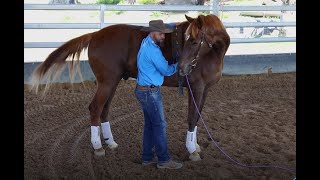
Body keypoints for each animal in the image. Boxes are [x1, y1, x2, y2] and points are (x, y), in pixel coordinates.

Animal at [30, 13, 230, 160]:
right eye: (187, 39)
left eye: (195, 41)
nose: (182, 68)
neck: (212, 53)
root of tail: (94, 35)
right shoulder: (196, 88)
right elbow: (191, 118)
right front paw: (191, 150)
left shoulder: (205, 90)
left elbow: (197, 117)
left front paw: (195, 145)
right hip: (107, 82)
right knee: (95, 108)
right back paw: (98, 147)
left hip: (112, 82)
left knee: (104, 110)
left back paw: (110, 143)